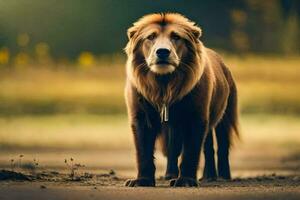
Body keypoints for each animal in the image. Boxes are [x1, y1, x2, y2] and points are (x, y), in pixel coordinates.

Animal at [124, 13, 239, 187]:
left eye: (176, 37)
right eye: (151, 37)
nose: (162, 52)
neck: (164, 85)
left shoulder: (196, 116)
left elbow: (191, 151)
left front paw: (185, 180)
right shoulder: (141, 116)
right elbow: (144, 150)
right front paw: (141, 180)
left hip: (224, 114)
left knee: (221, 145)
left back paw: (222, 176)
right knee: (185, 148)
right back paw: (181, 174)